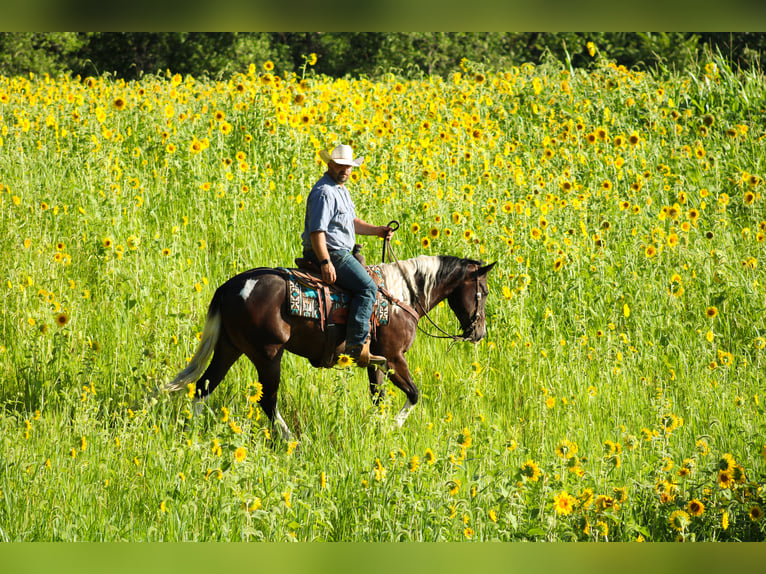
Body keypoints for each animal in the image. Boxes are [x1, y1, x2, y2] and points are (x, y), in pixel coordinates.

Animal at [165, 255, 496, 440]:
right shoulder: (394, 358)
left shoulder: (376, 362)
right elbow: (414, 394)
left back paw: (193, 432)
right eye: (483, 291)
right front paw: (391, 428)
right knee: (267, 401)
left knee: (204, 386)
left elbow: (377, 398)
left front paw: (377, 428)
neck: (403, 296)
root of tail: (232, 286)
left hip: (230, 346)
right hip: (268, 354)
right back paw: (292, 441)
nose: (478, 333)